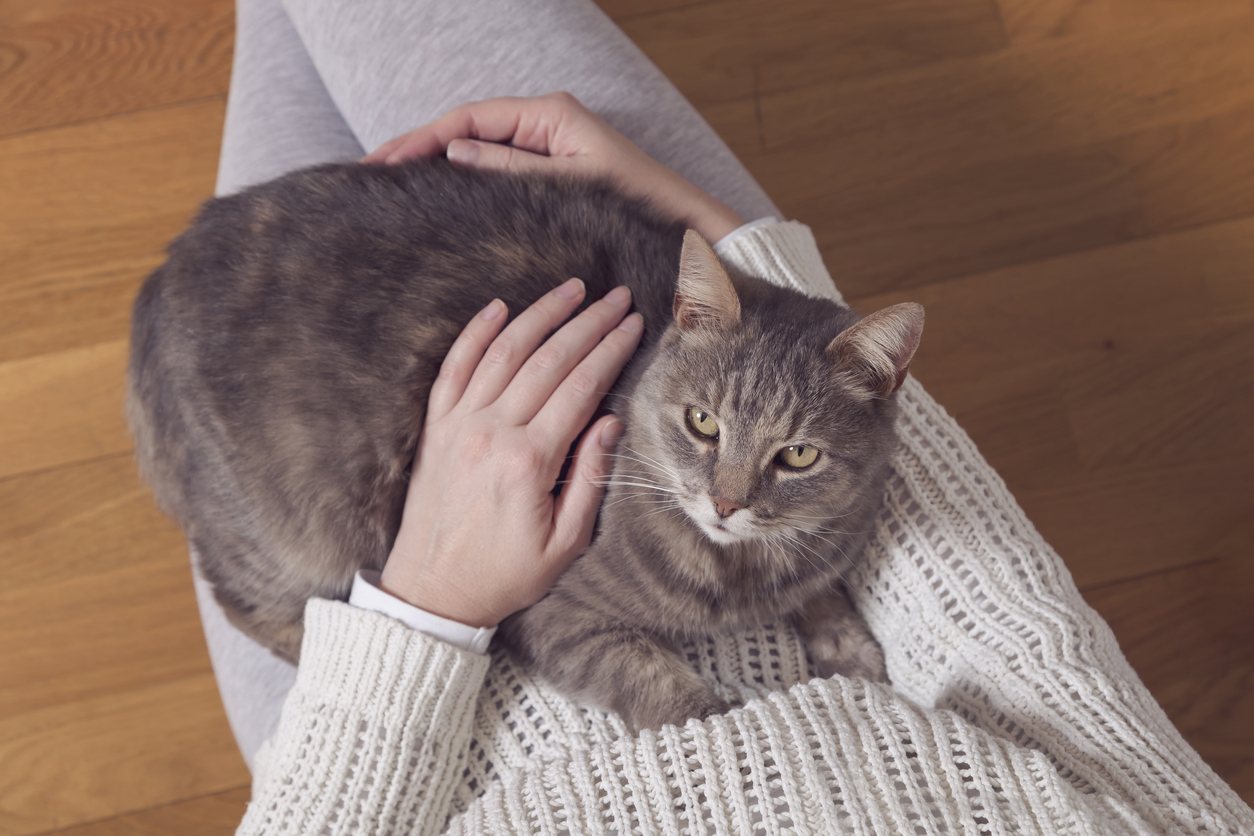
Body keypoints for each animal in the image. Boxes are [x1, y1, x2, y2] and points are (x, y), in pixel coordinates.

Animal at [129, 156, 922, 731]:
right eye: (703, 423)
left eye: (797, 456)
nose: (726, 503)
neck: (741, 576)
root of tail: (157, 285)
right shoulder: (557, 617)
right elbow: (666, 691)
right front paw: (720, 710)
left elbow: (823, 588)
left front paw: (851, 645)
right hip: (292, 527)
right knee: (249, 603)